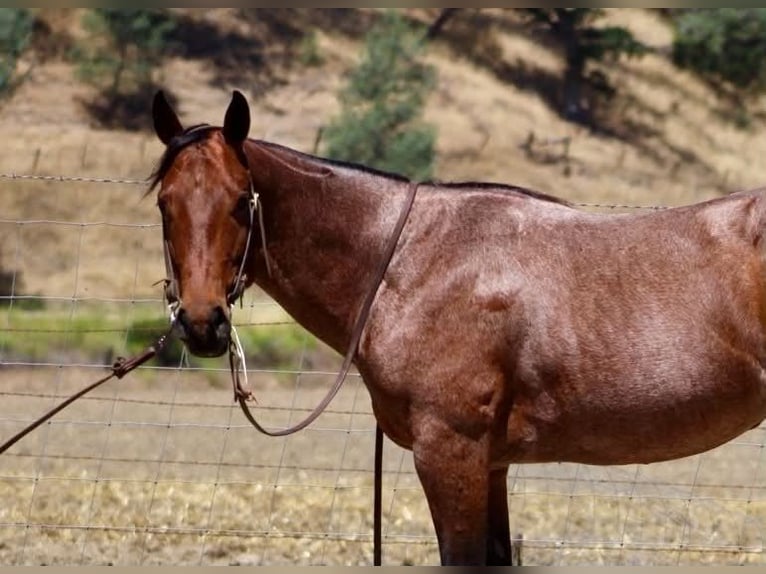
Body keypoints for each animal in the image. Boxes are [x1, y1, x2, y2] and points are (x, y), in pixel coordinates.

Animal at [149, 89, 766, 565]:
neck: (411, 262)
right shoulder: (491, 464)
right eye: (164, 203)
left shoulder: (450, 452)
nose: (203, 323)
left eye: (239, 202)